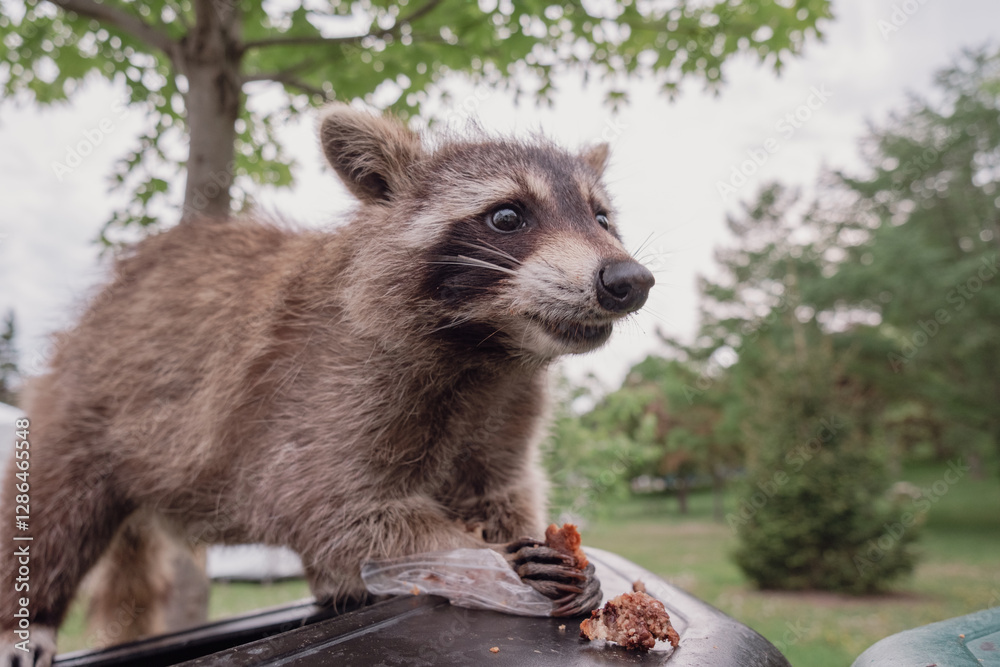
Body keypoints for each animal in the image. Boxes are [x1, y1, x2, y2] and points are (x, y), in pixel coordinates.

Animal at [0, 104, 653, 666]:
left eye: (601, 218)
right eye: (508, 216)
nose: (629, 279)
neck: (489, 344)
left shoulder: (507, 400)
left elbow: (502, 488)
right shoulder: (325, 380)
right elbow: (332, 507)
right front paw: (474, 554)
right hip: (89, 391)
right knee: (56, 506)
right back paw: (26, 616)